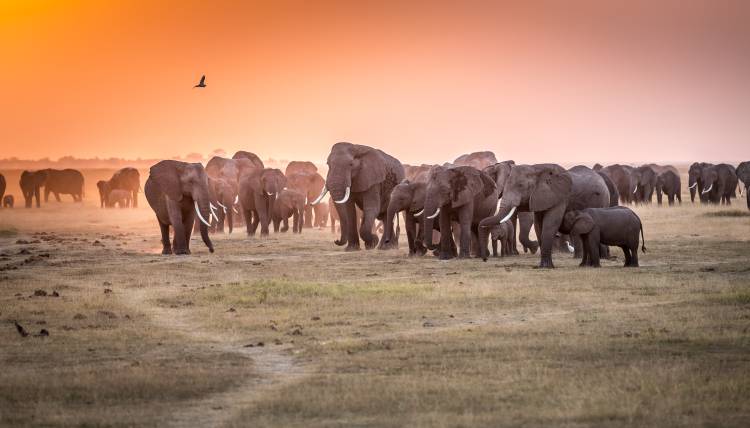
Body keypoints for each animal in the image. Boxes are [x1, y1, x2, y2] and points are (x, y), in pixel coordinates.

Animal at [482, 164, 612, 268]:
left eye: (521, 185)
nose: (485, 259)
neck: (536, 169)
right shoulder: (539, 198)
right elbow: (538, 225)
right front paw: (543, 265)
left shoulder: (559, 196)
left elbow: (550, 223)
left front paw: (546, 266)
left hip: (603, 200)